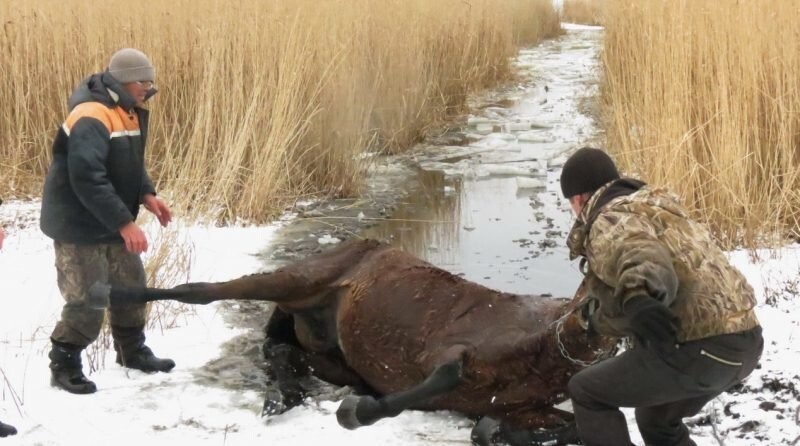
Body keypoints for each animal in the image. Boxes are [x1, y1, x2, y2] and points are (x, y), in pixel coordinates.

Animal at [90, 239, 616, 444]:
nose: (592, 315)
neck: (542, 348)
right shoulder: (450, 347)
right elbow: (443, 375)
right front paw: (356, 414)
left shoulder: (524, 406)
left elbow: (560, 425)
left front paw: (496, 431)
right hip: (299, 279)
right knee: (201, 291)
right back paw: (110, 292)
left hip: (333, 352)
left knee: (285, 351)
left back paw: (283, 398)